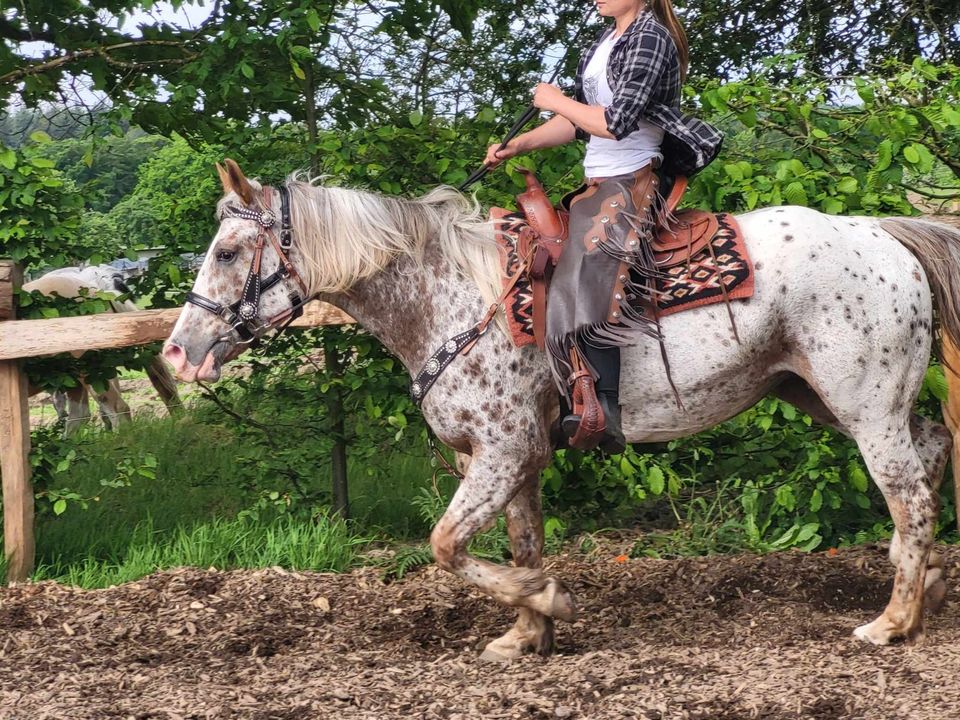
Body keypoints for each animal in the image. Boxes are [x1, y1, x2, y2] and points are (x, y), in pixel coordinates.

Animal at [165, 160, 952, 660]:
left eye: (229, 251)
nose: (179, 350)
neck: (453, 298)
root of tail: (886, 236)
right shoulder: (510, 458)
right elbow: (518, 541)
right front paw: (525, 635)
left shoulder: (505, 450)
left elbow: (447, 545)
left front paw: (550, 603)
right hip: (825, 396)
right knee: (934, 450)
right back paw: (928, 587)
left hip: (865, 407)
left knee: (910, 494)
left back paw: (889, 623)